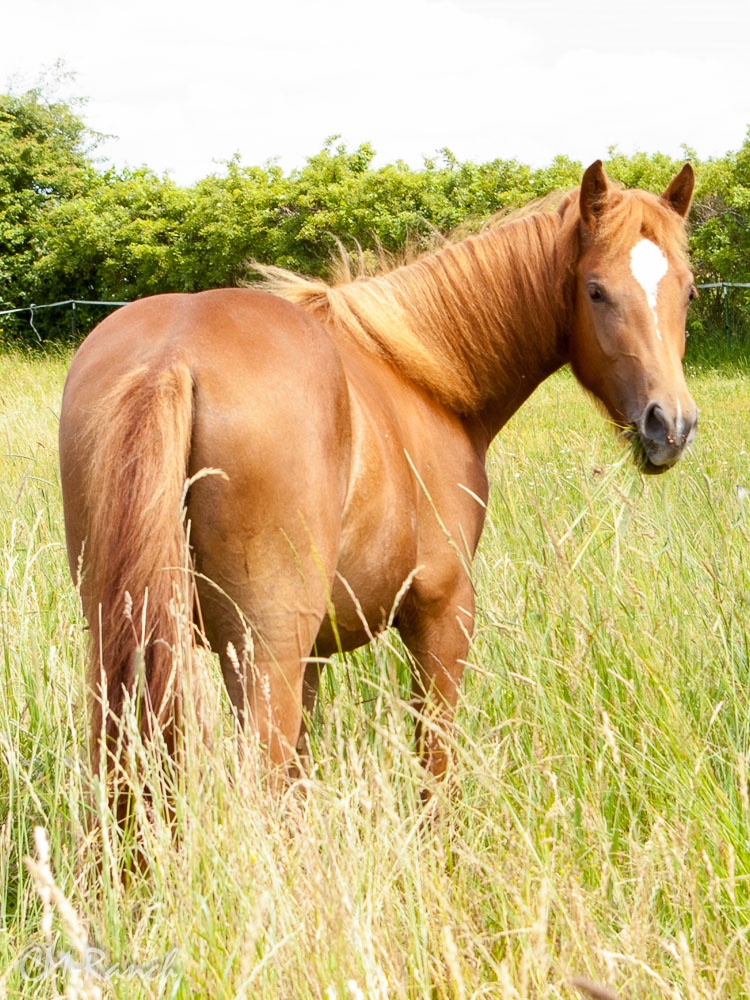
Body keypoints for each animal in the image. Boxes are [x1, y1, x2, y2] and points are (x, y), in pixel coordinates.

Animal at [57, 162, 700, 804]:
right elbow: (434, 769)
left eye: (689, 291)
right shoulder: (442, 617)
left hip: (128, 655)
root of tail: (172, 356)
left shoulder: (313, 656)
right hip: (261, 659)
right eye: (595, 290)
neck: (425, 378)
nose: (670, 424)